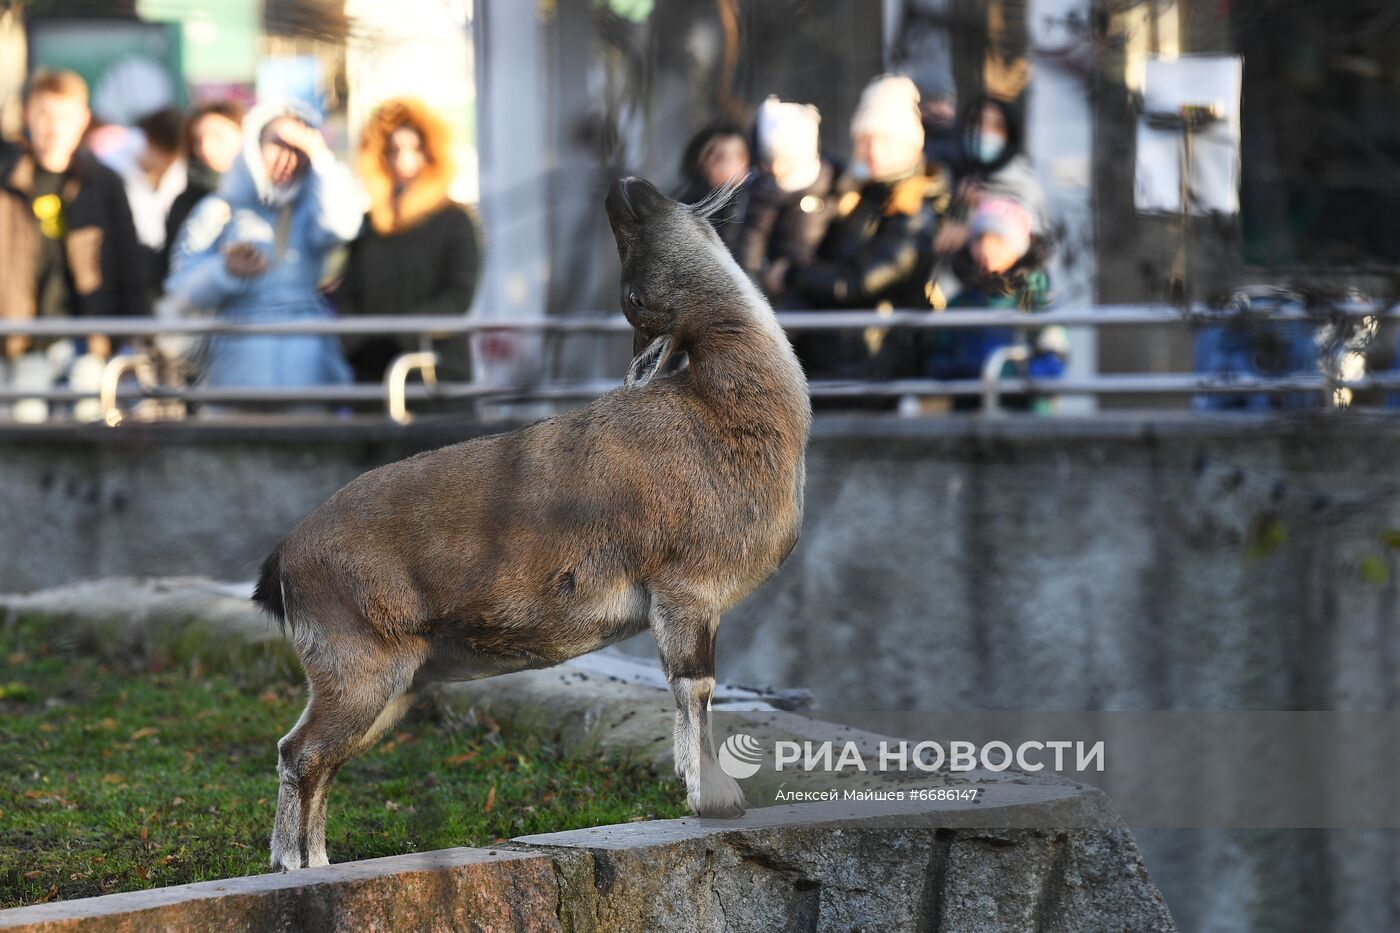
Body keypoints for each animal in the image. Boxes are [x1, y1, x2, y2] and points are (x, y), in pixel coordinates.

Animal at [257, 177, 817, 868]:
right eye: (630, 295)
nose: (627, 187)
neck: (727, 417)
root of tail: (283, 562)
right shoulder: (686, 592)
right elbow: (695, 687)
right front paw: (714, 799)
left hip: (394, 684)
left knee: (319, 758)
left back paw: (314, 860)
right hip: (355, 667)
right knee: (299, 751)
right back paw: (294, 865)